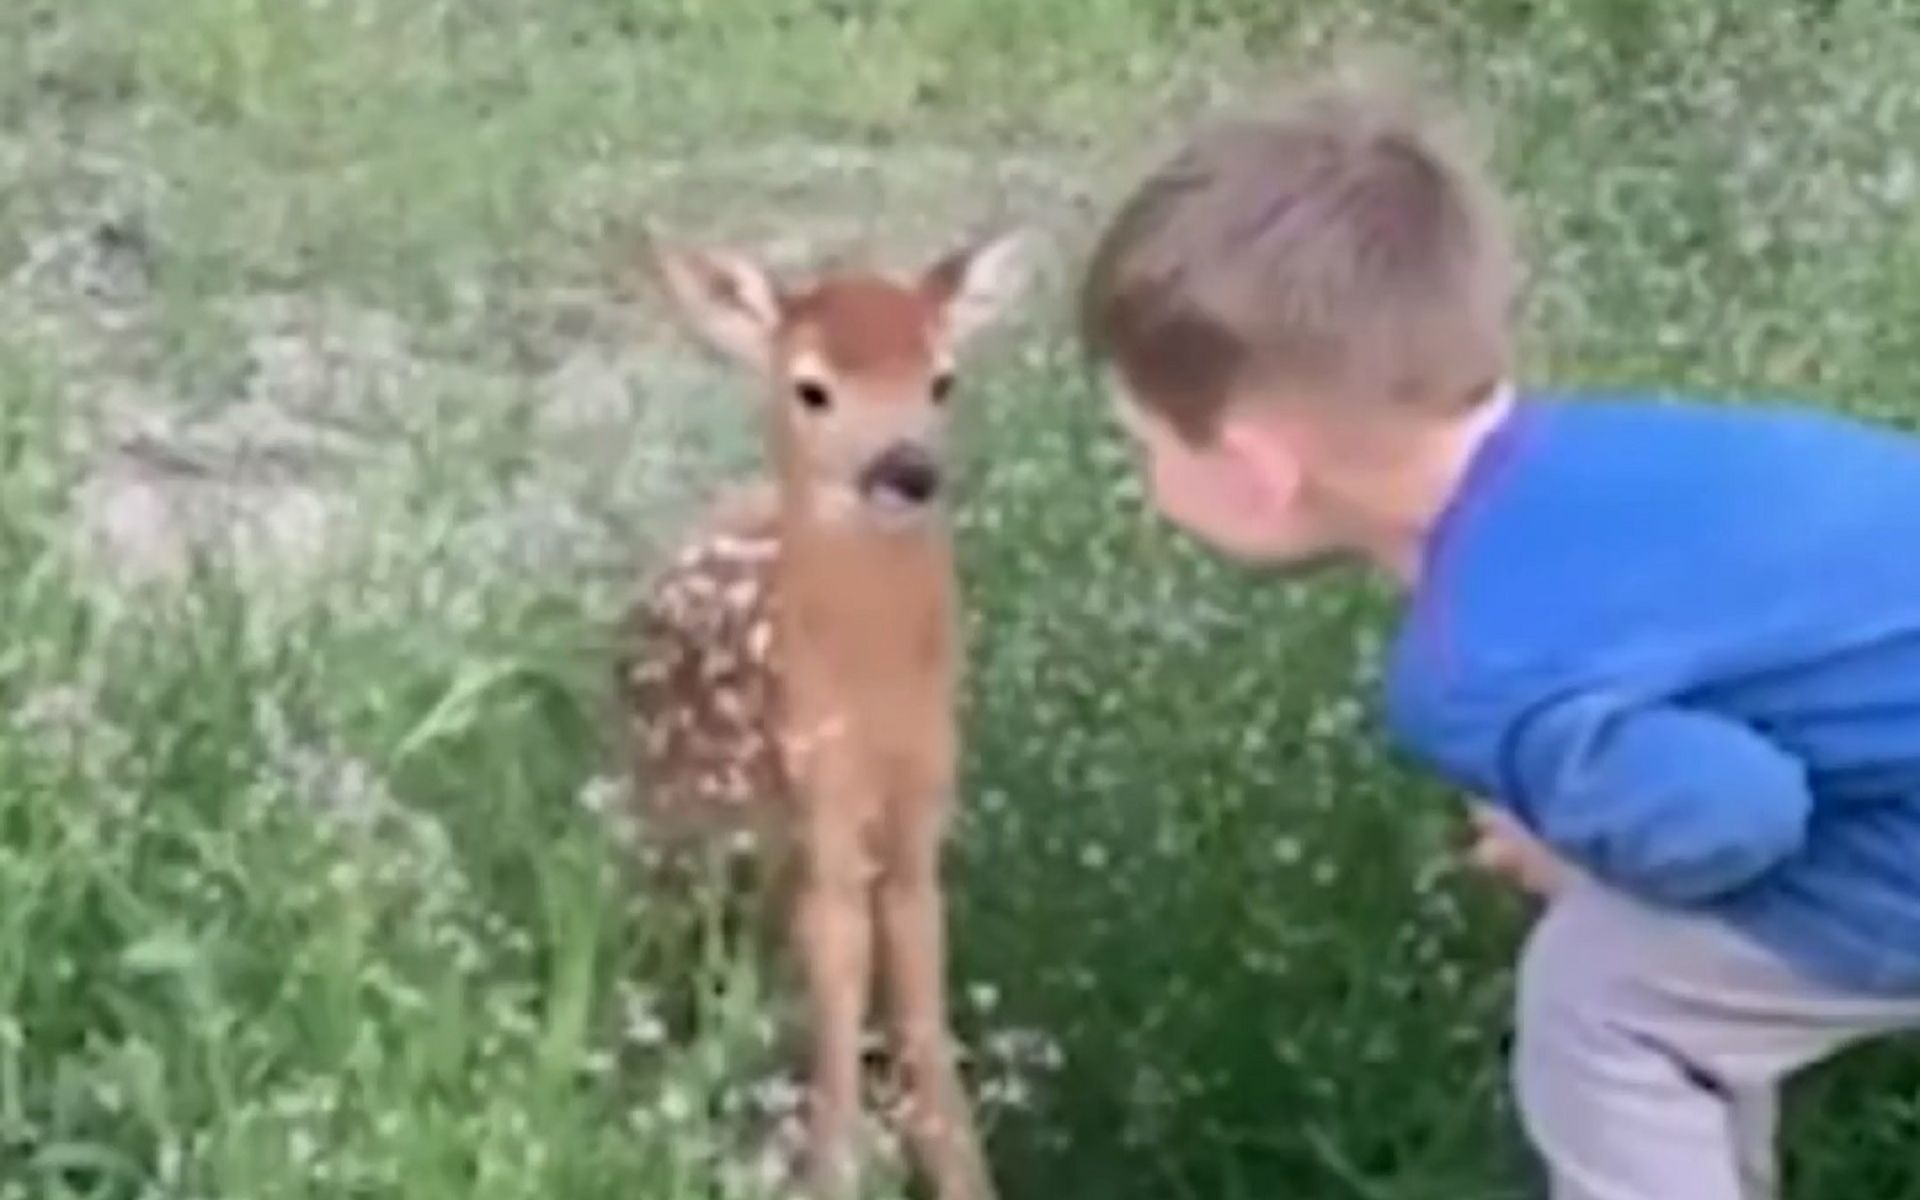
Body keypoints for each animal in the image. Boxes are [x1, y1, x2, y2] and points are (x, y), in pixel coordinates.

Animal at [618, 226, 1036, 1198]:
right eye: (813, 387)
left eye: (943, 378)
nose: (909, 470)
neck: (874, 705)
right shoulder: (822, 807)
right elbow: (841, 980)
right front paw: (832, 1170)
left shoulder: (923, 811)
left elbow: (921, 997)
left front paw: (959, 1171)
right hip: (663, 824)